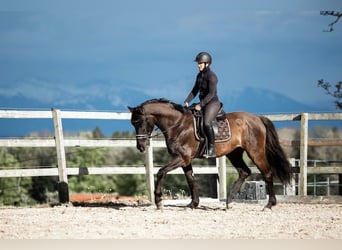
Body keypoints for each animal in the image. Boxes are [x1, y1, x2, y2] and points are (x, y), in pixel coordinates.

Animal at [127, 98, 292, 210]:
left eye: (141, 122)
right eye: (132, 123)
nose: (141, 146)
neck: (178, 124)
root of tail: (257, 118)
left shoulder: (181, 158)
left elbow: (161, 172)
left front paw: (159, 201)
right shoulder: (185, 160)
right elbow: (191, 179)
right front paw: (193, 204)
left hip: (255, 152)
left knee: (267, 173)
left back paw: (269, 205)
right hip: (234, 153)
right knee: (244, 172)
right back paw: (229, 202)